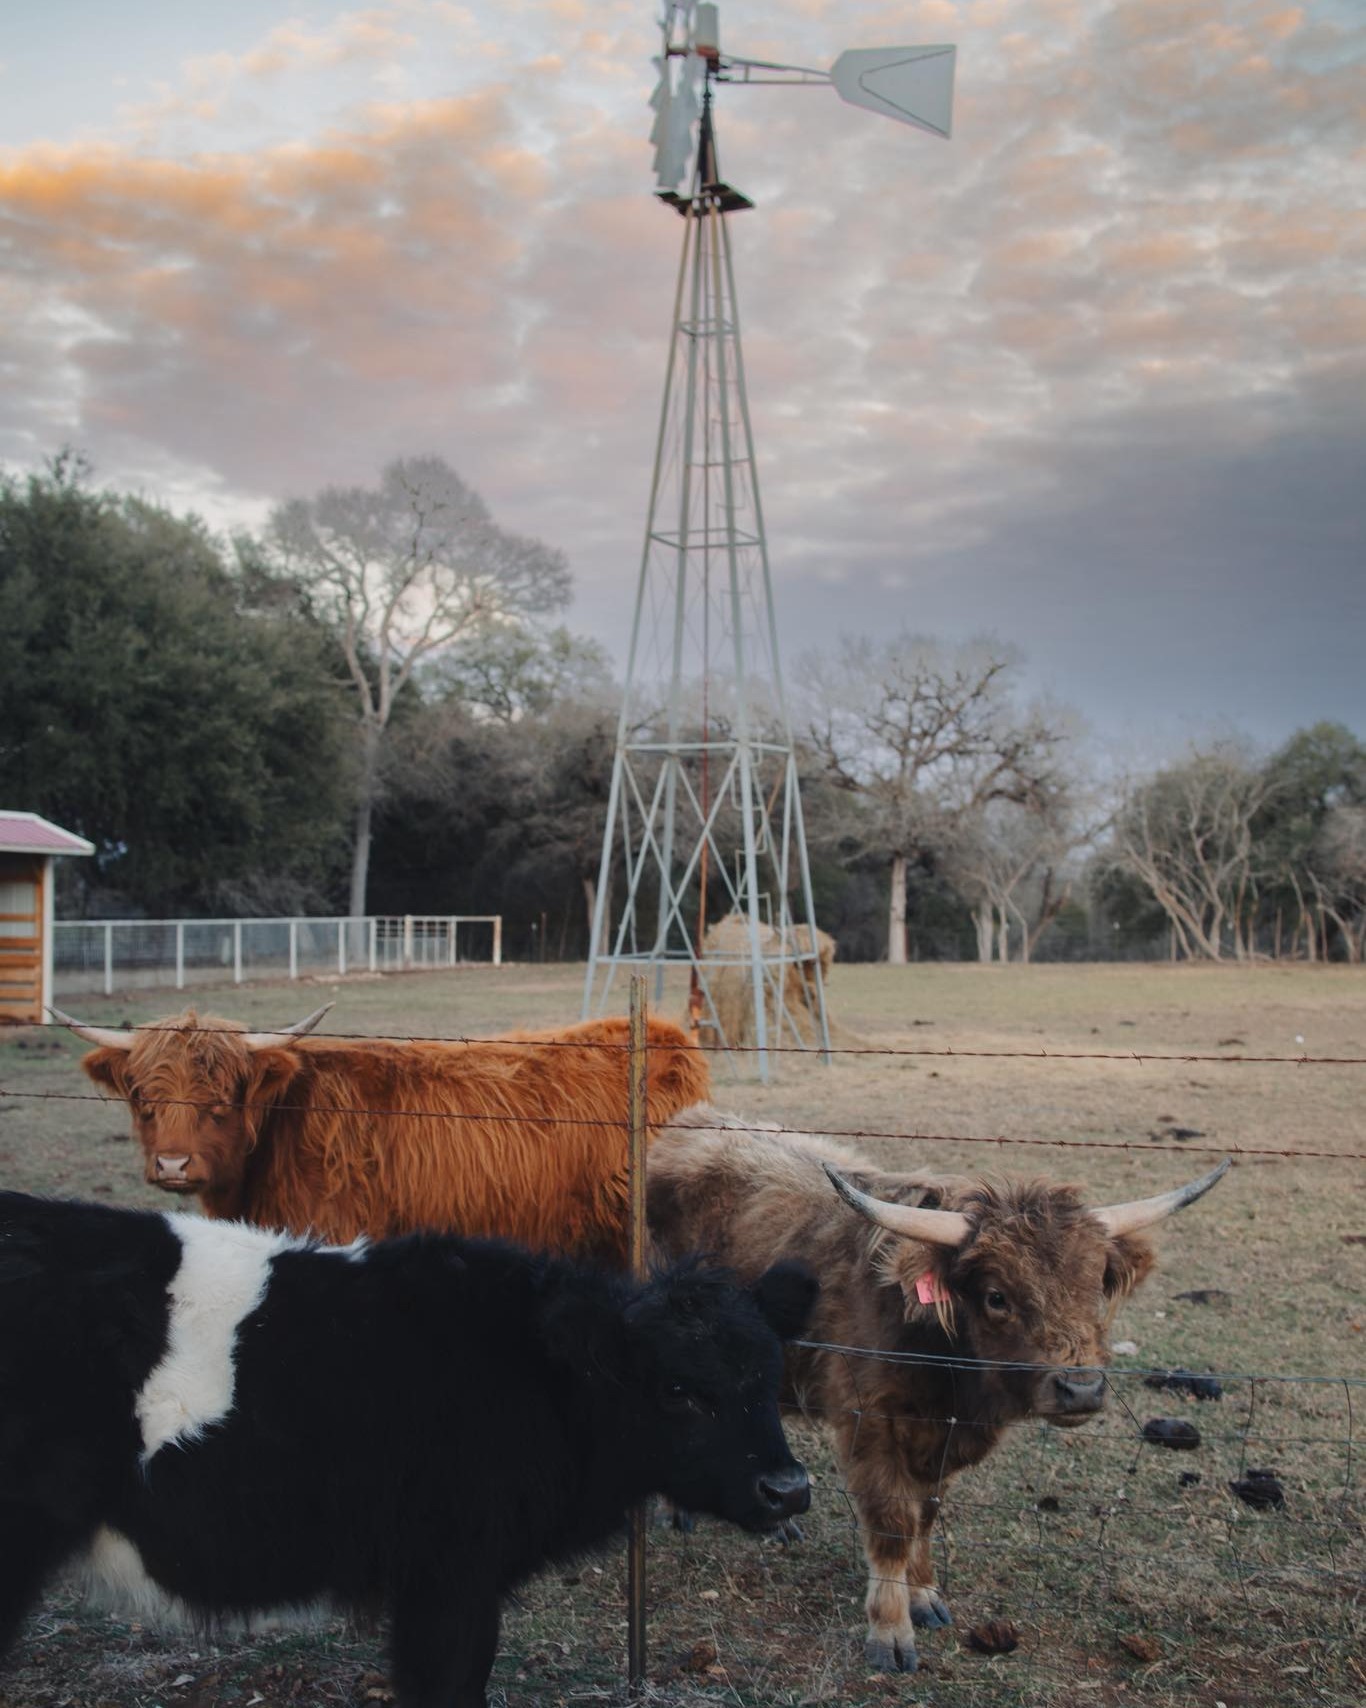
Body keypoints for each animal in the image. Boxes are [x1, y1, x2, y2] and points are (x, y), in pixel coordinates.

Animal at [646, 1106, 1228, 1675]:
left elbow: (926, 1514)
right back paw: (680, 1510)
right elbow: (892, 1522)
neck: (944, 1365)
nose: (1080, 1389)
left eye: (1094, 1288)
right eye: (997, 1296)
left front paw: (924, 1596)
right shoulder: (869, 1427)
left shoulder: (943, 1438)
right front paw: (889, 1631)